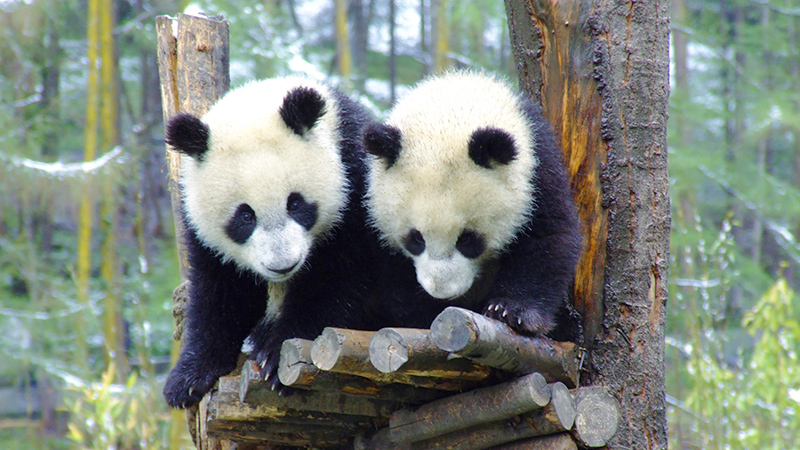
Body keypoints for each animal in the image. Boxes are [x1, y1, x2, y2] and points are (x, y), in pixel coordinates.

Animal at [162, 77, 383, 408]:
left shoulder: (355, 193)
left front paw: (278, 359)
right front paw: (187, 378)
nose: (283, 265)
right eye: (245, 216)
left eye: (295, 203)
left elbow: (333, 284)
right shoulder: (204, 234)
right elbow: (220, 295)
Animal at [362, 70, 582, 338]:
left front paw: (511, 311)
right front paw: (425, 314)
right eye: (416, 239)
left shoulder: (536, 169)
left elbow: (548, 238)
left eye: (467, 239)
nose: (443, 292)